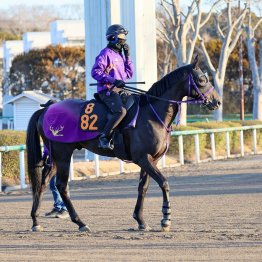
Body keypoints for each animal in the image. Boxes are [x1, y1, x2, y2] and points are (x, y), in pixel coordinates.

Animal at [27, 55, 221, 231]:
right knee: (61, 185)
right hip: (63, 155)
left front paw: (140, 220)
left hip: (55, 156)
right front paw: (166, 218)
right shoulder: (143, 158)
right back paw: (80, 222)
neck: (151, 114)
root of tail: (47, 108)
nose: (217, 101)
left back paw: (36, 221)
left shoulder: (152, 160)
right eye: (202, 79)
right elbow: (164, 182)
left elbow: (143, 187)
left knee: (43, 183)